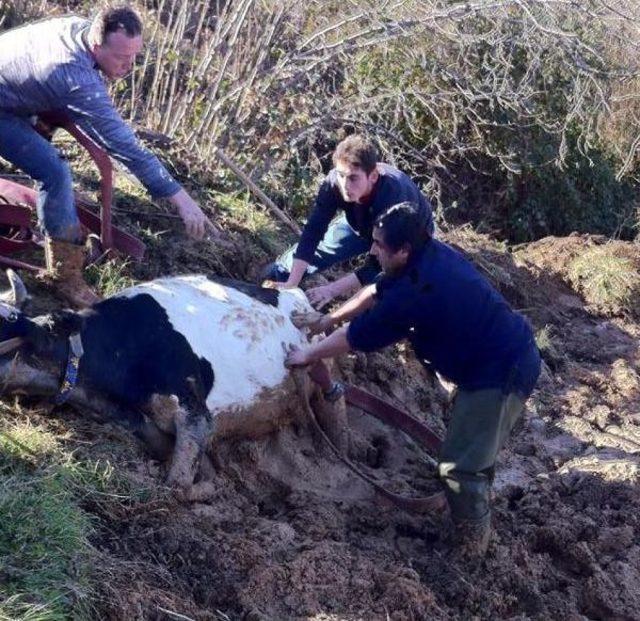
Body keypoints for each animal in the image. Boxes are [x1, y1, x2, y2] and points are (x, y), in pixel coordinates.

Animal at [0, 268, 344, 486]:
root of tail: (298, 296)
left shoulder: (196, 412)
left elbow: (176, 486)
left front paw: (208, 485)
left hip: (325, 370)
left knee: (336, 413)